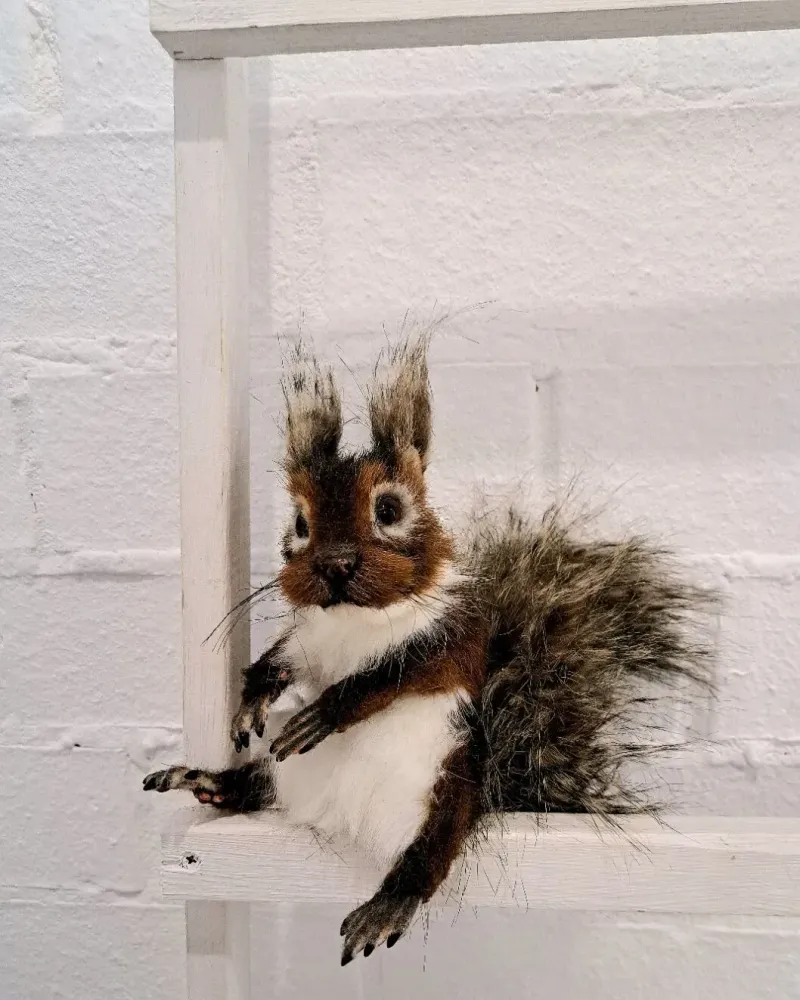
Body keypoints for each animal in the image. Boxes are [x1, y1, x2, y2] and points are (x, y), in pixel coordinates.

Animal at [145, 335, 714, 966]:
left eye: (390, 510)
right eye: (299, 521)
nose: (335, 566)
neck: (357, 621)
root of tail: (337, 819)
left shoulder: (456, 638)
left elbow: (394, 675)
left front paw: (328, 710)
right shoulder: (308, 640)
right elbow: (280, 662)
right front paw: (253, 704)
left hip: (447, 787)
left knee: (429, 854)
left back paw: (389, 902)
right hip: (284, 774)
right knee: (255, 784)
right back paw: (206, 779)